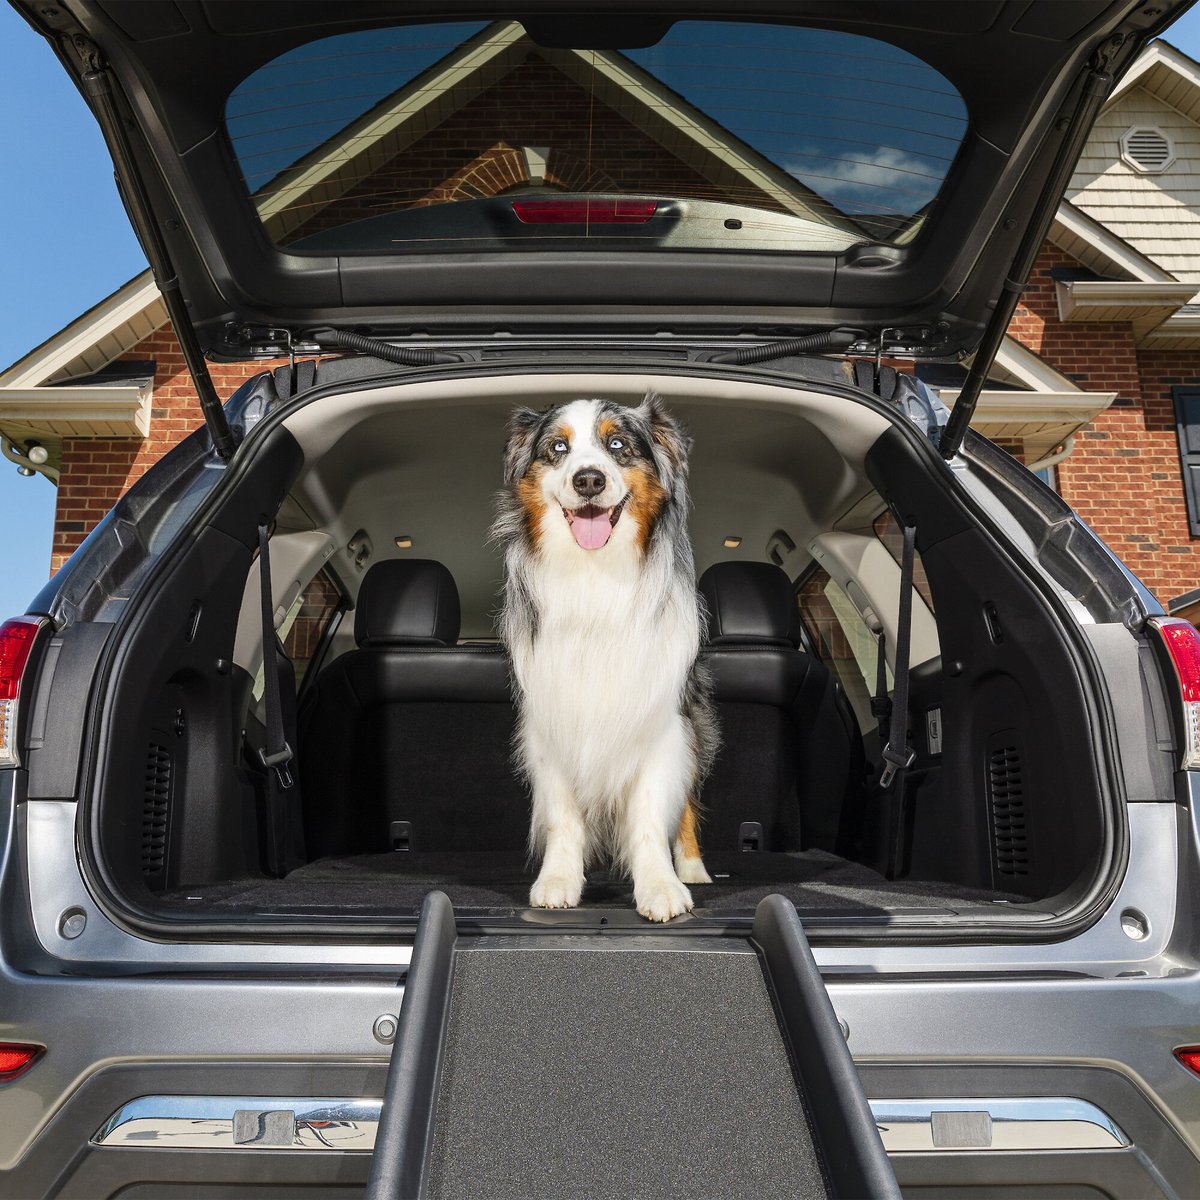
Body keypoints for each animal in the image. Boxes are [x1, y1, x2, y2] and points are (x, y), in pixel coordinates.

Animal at [492, 393, 715, 916]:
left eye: (617, 445)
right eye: (557, 448)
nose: (589, 479)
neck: (595, 576)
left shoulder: (661, 719)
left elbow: (652, 813)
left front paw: (660, 886)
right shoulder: (552, 718)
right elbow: (562, 815)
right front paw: (558, 880)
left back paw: (693, 868)